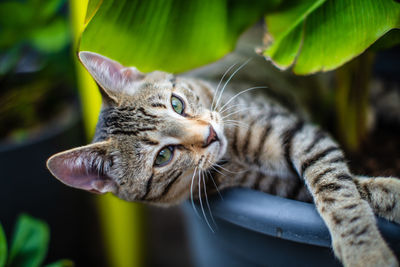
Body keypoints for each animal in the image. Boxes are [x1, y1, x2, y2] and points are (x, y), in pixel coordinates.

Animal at [47, 52, 400, 267]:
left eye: (177, 104)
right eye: (163, 156)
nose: (209, 135)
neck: (235, 157)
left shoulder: (298, 133)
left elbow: (335, 187)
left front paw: (366, 250)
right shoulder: (273, 186)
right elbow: (347, 188)